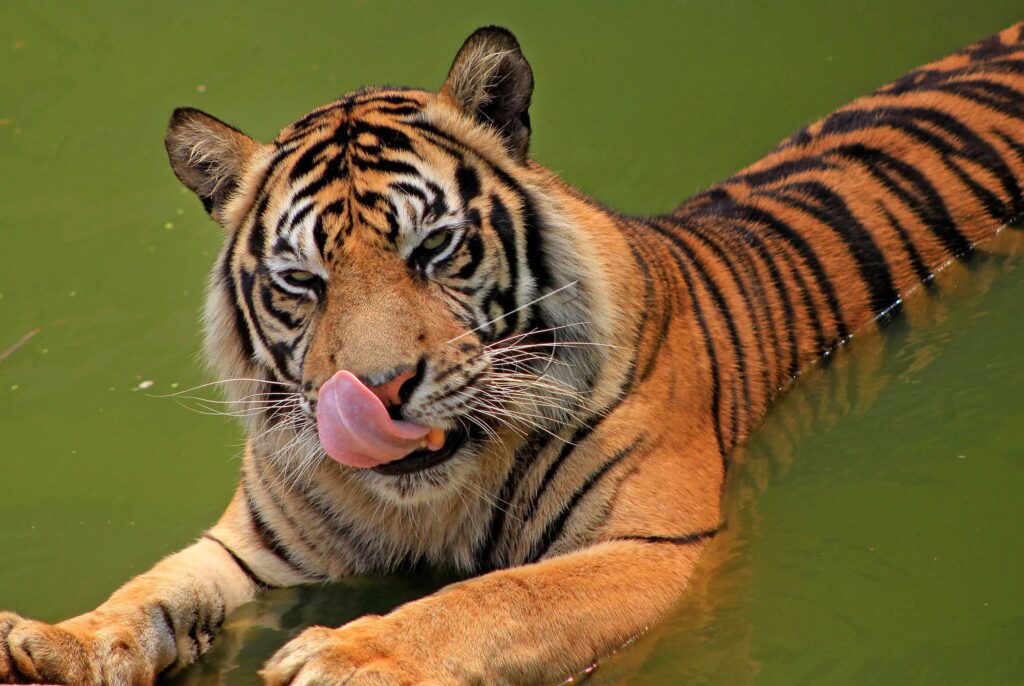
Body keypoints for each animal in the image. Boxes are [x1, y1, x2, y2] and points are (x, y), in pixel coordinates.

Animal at [2, 20, 1023, 686]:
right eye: (302, 281)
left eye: (433, 248)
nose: (378, 392)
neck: (424, 503)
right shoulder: (255, 544)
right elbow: (152, 590)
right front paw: (50, 644)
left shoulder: (650, 546)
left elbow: (497, 599)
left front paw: (348, 656)